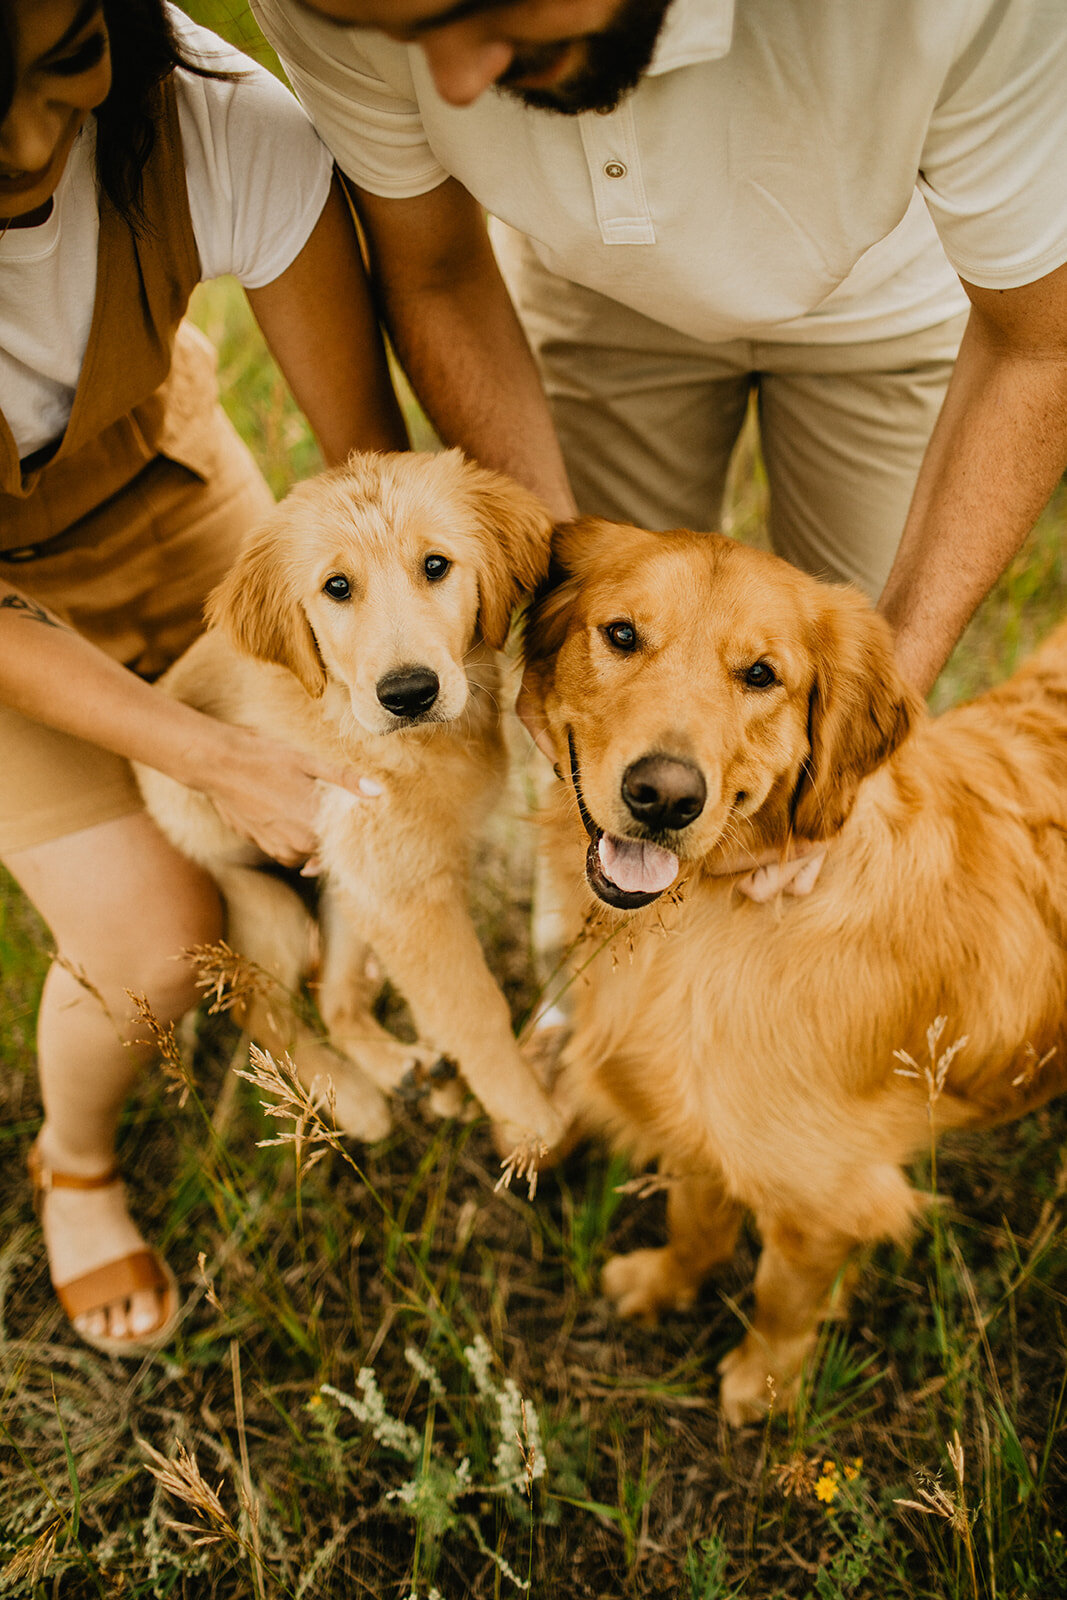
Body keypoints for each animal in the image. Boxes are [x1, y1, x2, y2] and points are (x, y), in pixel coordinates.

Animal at [140, 457, 566, 1158]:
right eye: (336, 587)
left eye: (435, 566)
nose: (410, 693)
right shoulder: (399, 890)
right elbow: (472, 1007)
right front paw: (532, 1121)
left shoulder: (398, 875)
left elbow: (434, 996)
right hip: (267, 901)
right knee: (260, 1009)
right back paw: (352, 1101)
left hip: (338, 886)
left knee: (331, 993)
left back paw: (407, 1073)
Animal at [524, 521, 1067, 1427]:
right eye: (621, 635)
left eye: (760, 675)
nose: (663, 796)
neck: (709, 913)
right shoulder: (695, 1115)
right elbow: (696, 1219)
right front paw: (664, 1283)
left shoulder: (824, 1191)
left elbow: (781, 1295)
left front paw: (761, 1384)